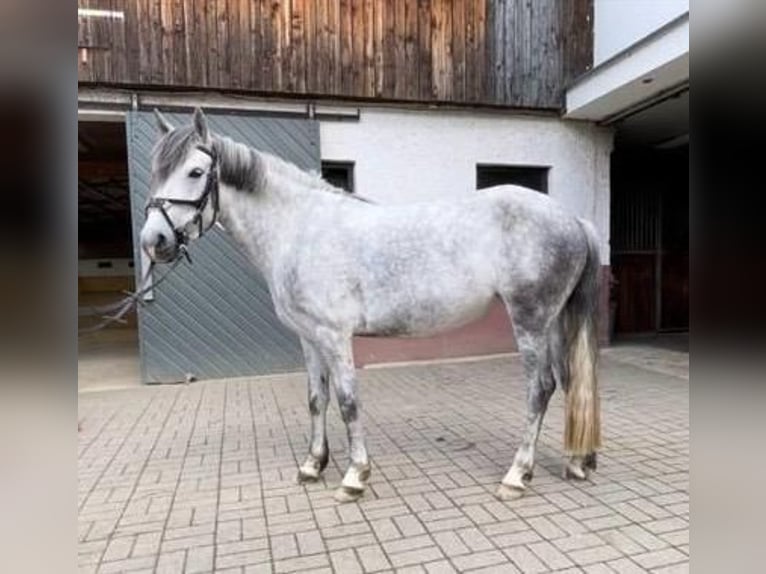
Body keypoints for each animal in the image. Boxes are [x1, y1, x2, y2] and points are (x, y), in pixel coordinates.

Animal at [141, 108, 604, 504]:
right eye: (156, 172)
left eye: (195, 172)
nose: (153, 241)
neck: (300, 228)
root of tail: (572, 219)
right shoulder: (309, 338)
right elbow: (317, 399)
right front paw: (312, 466)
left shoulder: (334, 336)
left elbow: (348, 401)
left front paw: (354, 477)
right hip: (554, 320)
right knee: (568, 382)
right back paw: (576, 462)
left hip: (530, 319)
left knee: (540, 387)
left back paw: (517, 475)